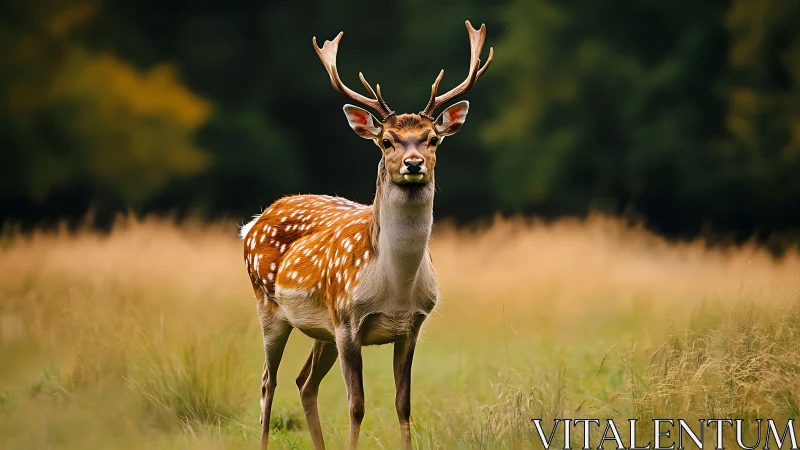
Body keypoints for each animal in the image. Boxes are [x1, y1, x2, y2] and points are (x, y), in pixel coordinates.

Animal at [239, 20, 493, 450]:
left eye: (433, 138)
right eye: (386, 140)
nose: (413, 163)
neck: (395, 287)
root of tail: (254, 221)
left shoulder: (412, 326)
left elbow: (403, 405)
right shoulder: (347, 322)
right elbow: (356, 405)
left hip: (320, 330)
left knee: (303, 382)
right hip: (270, 307)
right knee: (267, 384)